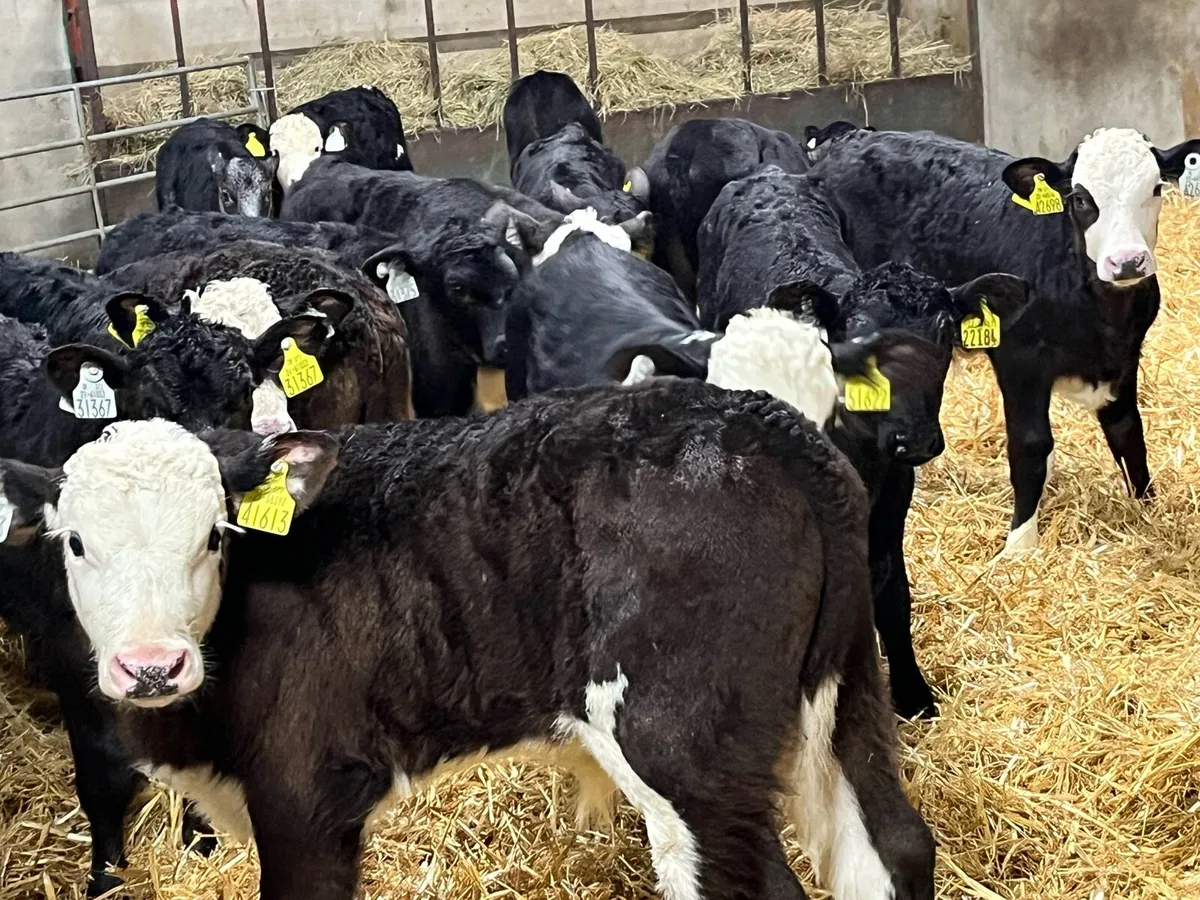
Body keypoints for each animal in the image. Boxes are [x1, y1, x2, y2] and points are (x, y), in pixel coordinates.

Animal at [0, 382, 936, 900]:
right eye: (75, 542)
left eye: (213, 536)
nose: (151, 667)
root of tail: (764, 425)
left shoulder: (309, 790)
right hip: (844, 688)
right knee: (893, 846)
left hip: (684, 750)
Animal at [694, 166, 1032, 718]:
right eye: (858, 339)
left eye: (945, 334)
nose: (915, 439)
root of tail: (768, 174)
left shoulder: (894, 497)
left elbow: (892, 592)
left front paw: (913, 693)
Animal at [806, 126, 1200, 550]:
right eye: (1081, 199)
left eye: (1156, 188)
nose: (1127, 261)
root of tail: (852, 137)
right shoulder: (1020, 362)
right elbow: (1030, 445)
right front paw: (1020, 544)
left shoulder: (1124, 359)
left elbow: (1128, 434)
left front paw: (1149, 513)